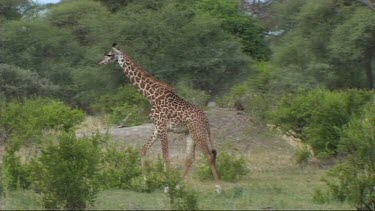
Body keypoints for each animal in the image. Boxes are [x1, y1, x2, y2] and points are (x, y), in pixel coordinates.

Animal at [100, 42, 222, 191]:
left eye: (109, 54)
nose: (100, 62)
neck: (150, 95)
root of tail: (206, 120)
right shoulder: (157, 127)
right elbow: (143, 149)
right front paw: (146, 182)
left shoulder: (162, 127)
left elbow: (165, 156)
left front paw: (166, 186)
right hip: (189, 134)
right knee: (190, 158)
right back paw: (178, 185)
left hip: (197, 132)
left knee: (209, 155)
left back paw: (218, 187)